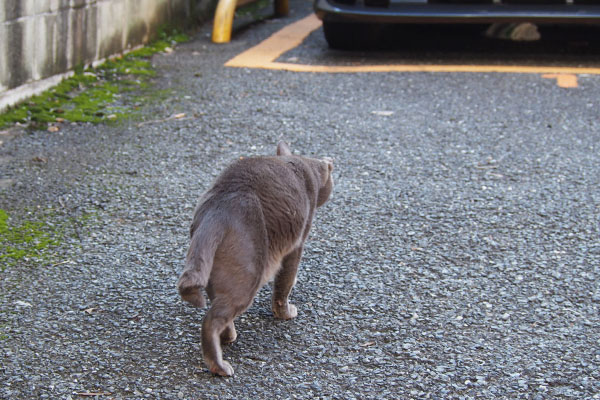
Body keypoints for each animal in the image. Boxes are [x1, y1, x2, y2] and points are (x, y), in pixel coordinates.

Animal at [176, 142, 336, 376]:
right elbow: (285, 283)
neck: (300, 164)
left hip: (213, 269)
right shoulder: (297, 243)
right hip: (248, 273)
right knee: (212, 319)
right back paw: (219, 365)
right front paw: (285, 313)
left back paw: (228, 337)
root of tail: (217, 209)